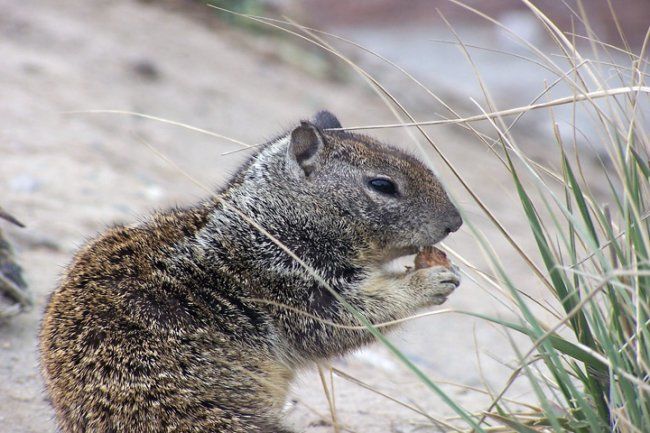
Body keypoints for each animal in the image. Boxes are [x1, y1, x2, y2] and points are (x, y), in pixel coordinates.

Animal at [39, 109, 460, 430]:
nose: (455, 222)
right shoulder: (289, 285)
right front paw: (430, 280)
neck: (270, 220)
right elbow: (348, 319)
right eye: (382, 185)